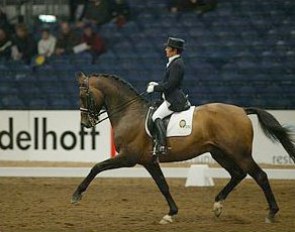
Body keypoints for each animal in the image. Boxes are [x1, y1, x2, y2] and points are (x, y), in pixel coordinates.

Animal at [72, 73, 295, 225]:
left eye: (84, 95)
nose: (85, 124)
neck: (130, 113)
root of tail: (242, 110)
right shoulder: (149, 161)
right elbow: (163, 185)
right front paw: (171, 213)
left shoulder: (128, 157)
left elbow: (97, 167)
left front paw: (77, 195)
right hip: (220, 153)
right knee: (238, 174)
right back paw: (217, 205)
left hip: (240, 153)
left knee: (260, 176)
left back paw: (271, 212)